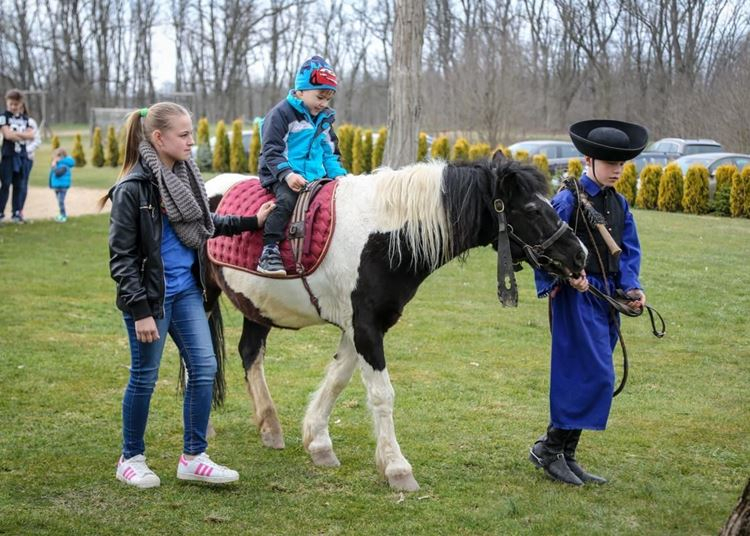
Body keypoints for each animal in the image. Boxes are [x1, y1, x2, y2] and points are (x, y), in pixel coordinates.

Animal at [204, 156, 588, 490]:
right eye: (533, 209)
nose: (579, 254)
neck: (383, 236)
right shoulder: (365, 328)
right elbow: (382, 394)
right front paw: (396, 468)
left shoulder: (359, 327)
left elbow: (338, 379)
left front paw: (318, 443)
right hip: (204, 298)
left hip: (256, 306)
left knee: (250, 353)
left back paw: (270, 428)